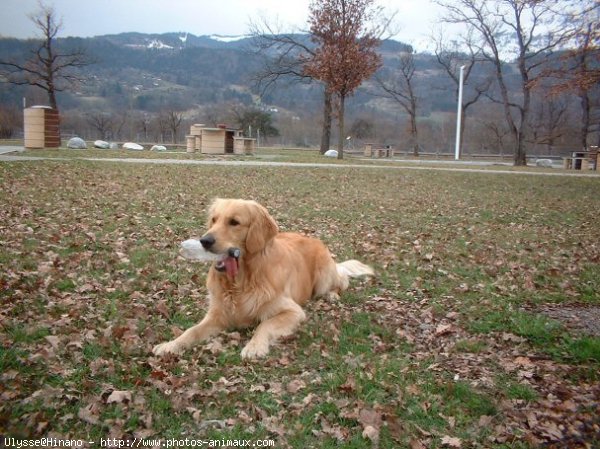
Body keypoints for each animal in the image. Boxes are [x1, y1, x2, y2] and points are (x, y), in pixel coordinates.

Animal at [152, 198, 372, 358]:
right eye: (214, 220)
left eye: (234, 222)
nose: (204, 241)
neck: (241, 281)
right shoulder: (217, 315)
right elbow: (192, 331)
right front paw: (170, 345)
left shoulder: (293, 311)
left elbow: (264, 325)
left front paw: (254, 346)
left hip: (323, 278)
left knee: (341, 281)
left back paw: (333, 295)